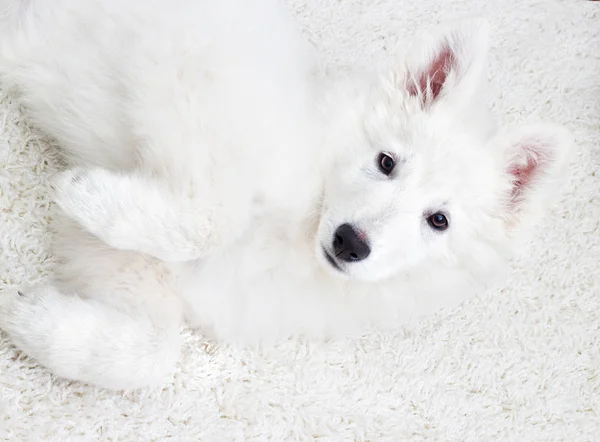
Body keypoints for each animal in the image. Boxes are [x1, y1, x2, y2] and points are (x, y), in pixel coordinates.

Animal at [0, 0, 572, 386]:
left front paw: (34, 318)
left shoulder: (135, 268)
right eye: (386, 163)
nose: (350, 243)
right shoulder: (196, 85)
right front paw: (86, 192)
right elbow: (212, 218)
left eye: (439, 221)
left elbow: (154, 355)